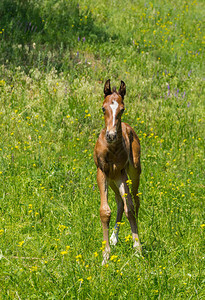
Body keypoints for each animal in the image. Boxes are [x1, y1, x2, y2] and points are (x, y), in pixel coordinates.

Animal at [93, 79, 142, 264]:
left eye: (122, 109)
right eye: (103, 108)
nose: (111, 135)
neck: (112, 149)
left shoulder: (121, 173)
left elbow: (130, 208)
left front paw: (138, 250)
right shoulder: (102, 172)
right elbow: (105, 211)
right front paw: (105, 256)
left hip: (133, 173)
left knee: (134, 199)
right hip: (112, 179)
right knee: (120, 202)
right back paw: (114, 238)